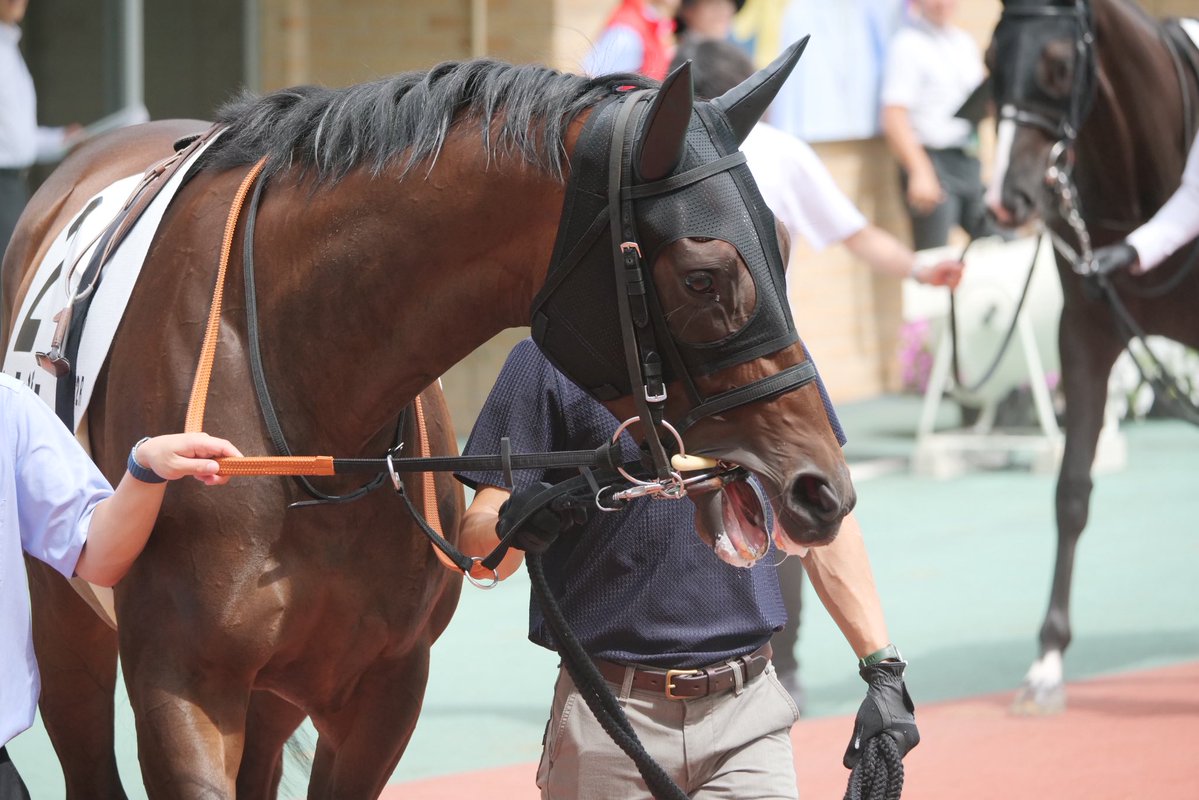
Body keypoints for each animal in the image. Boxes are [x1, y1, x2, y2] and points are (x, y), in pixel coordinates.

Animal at [1, 44, 856, 797]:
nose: (821, 488)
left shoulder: (383, 687)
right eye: (704, 277)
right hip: (66, 629)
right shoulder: (183, 686)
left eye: (781, 249)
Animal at [985, 0, 1199, 713]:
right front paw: (1047, 660)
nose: (1007, 199)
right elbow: (1071, 491)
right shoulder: (1085, 334)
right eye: (990, 60)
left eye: (1057, 66)